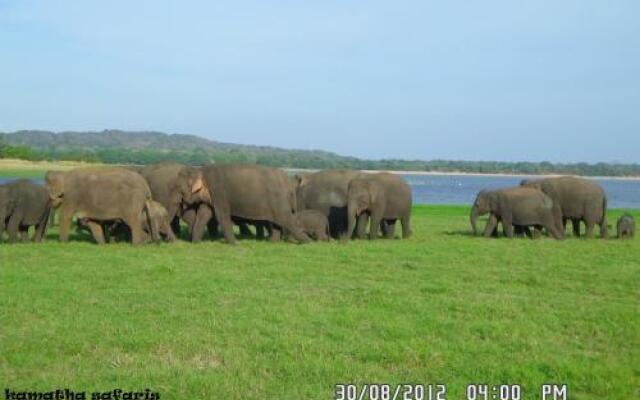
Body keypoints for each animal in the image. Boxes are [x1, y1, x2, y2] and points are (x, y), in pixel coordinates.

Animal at [176, 162, 308, 244]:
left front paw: (235, 244)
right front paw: (196, 242)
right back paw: (273, 242)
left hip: (279, 200)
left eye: (181, 190)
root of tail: (288, 182)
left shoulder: (219, 192)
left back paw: (308, 242)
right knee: (279, 222)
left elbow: (222, 216)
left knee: (286, 220)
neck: (201, 170)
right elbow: (204, 214)